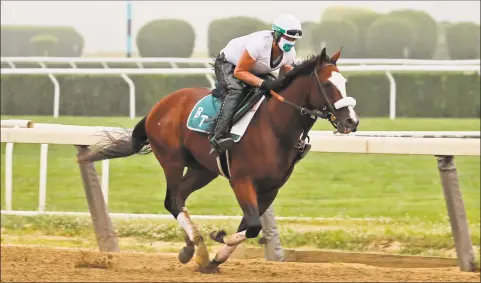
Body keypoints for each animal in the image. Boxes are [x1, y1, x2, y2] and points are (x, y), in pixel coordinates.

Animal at [78, 47, 356, 274]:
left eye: (344, 82)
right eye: (328, 84)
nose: (352, 122)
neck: (275, 128)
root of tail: (161, 104)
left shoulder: (271, 189)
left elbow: (249, 226)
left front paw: (216, 258)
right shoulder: (242, 181)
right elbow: (252, 226)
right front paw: (218, 236)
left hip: (202, 169)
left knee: (180, 198)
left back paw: (191, 249)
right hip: (172, 160)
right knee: (173, 200)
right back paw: (199, 249)